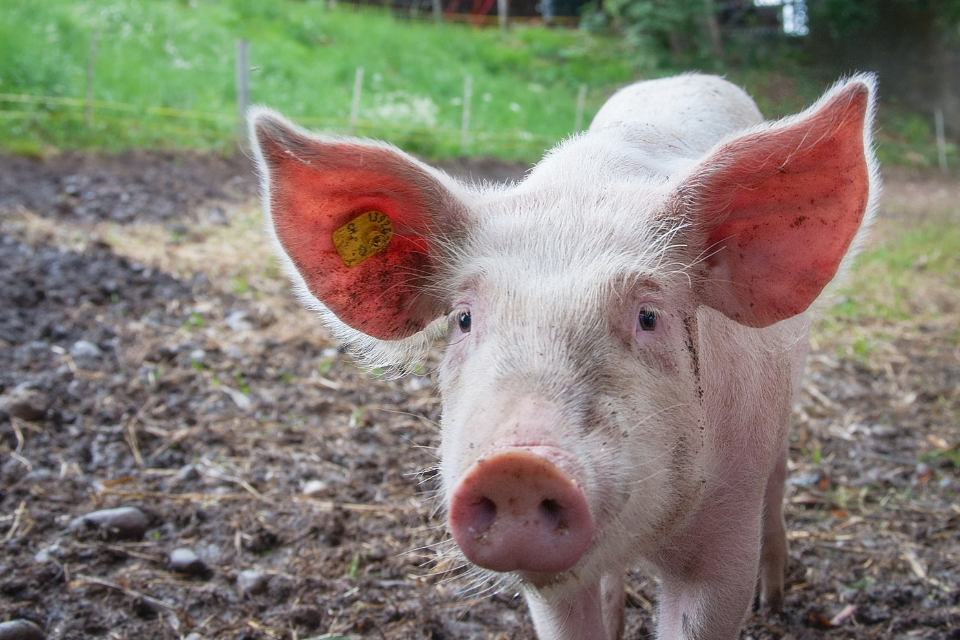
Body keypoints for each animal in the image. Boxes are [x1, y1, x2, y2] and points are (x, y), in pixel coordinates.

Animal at [249, 72, 878, 640]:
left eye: (649, 317)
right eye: (464, 319)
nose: (517, 467)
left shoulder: (725, 542)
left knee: (779, 481)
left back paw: (775, 602)